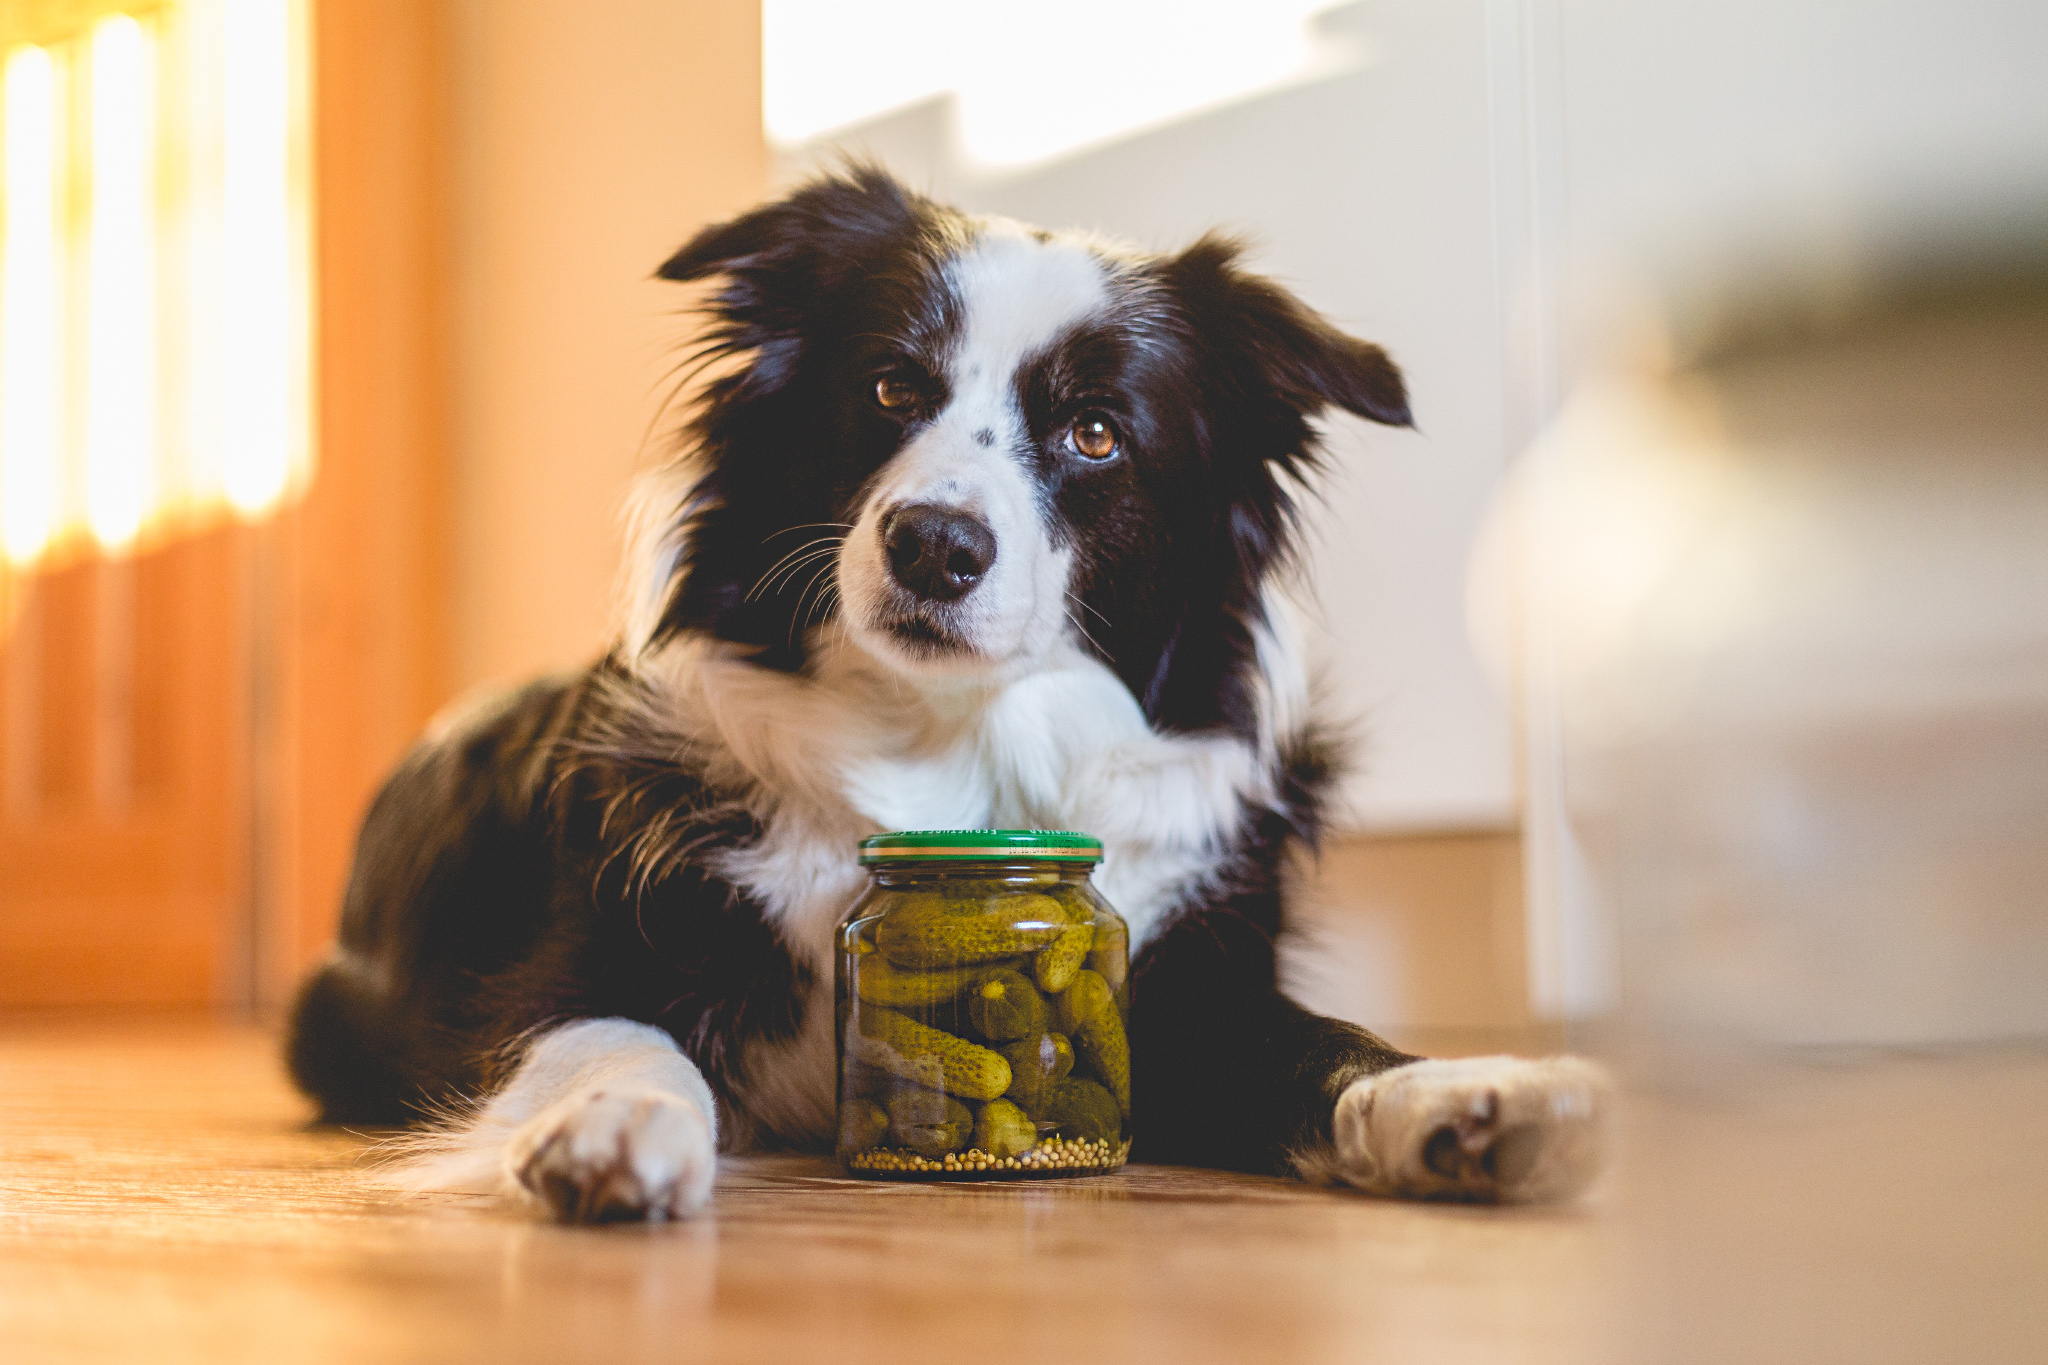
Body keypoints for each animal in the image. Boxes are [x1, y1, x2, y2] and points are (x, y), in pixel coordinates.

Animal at [288, 165, 1605, 1219]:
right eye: (887, 389)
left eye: (1093, 434)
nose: (933, 542)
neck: (951, 747)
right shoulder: (556, 971)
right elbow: (616, 1035)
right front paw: (617, 1125)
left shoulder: (1181, 988)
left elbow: (1324, 1047)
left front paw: (1464, 1094)